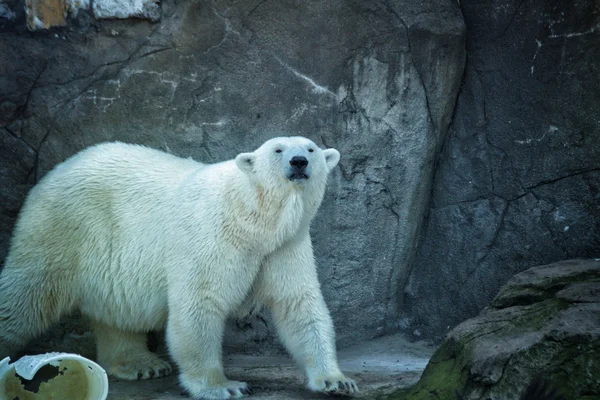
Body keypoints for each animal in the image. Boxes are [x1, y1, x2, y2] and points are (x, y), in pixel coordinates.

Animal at [0, 137, 356, 396]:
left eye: (311, 148)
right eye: (278, 149)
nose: (299, 162)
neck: (253, 217)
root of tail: (56, 170)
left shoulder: (285, 246)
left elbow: (298, 304)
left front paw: (336, 381)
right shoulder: (214, 236)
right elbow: (199, 303)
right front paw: (223, 386)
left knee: (117, 312)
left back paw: (140, 363)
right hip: (62, 229)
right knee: (24, 296)